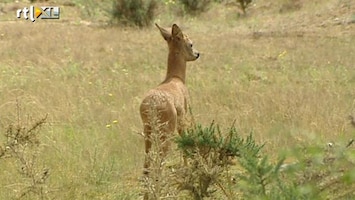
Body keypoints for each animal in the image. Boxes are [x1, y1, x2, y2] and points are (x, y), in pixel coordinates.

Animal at [140, 23, 200, 174]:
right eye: (190, 43)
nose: (197, 54)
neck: (175, 78)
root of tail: (152, 105)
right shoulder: (184, 116)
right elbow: (184, 139)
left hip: (147, 129)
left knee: (147, 156)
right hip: (167, 130)